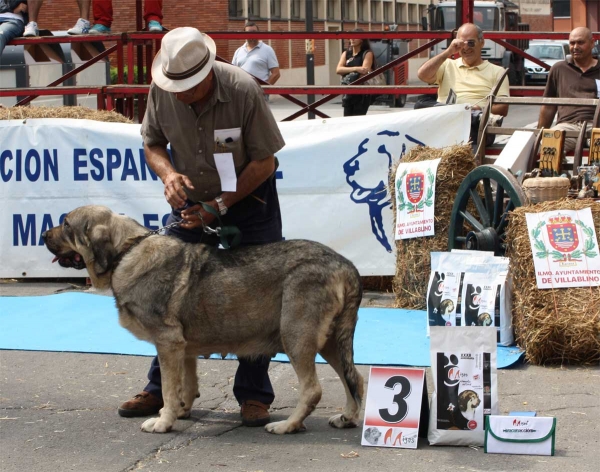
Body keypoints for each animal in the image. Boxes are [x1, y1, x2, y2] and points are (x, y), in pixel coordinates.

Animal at [43, 205, 366, 434]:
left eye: (67, 224)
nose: (44, 235)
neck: (127, 250)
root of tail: (346, 265)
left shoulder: (167, 343)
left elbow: (169, 389)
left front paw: (163, 422)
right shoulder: (183, 349)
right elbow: (186, 384)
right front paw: (181, 411)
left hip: (296, 337)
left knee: (313, 390)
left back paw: (287, 426)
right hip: (330, 342)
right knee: (355, 379)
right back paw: (347, 418)